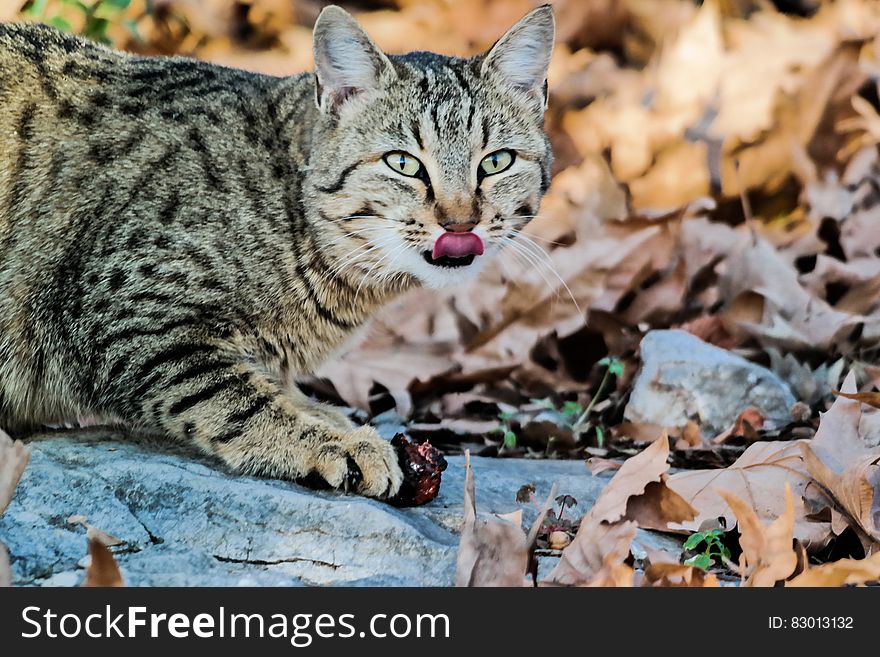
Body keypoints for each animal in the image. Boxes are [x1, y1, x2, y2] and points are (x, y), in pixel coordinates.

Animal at [0, 5, 552, 500]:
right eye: (403, 163)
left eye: (497, 162)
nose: (460, 223)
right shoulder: (127, 320)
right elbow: (233, 397)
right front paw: (332, 443)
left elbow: (271, 387)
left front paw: (332, 418)